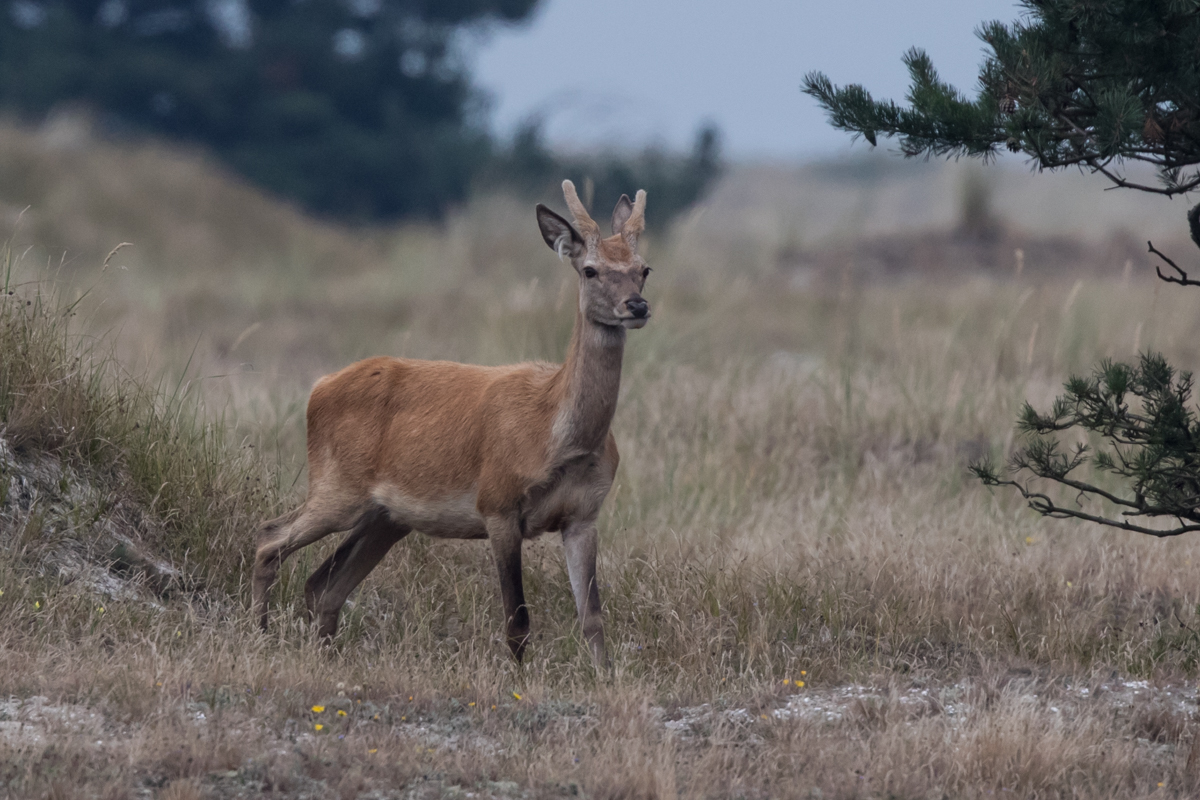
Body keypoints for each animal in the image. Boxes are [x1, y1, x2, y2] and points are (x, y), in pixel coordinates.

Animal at [247, 183, 652, 671]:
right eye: (590, 270)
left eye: (644, 269)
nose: (637, 305)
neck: (554, 434)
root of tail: (318, 387)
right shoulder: (497, 503)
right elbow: (517, 621)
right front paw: (519, 679)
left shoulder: (583, 515)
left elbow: (592, 618)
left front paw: (604, 676)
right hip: (337, 486)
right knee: (269, 538)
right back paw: (258, 636)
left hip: (386, 517)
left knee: (323, 584)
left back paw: (321, 653)